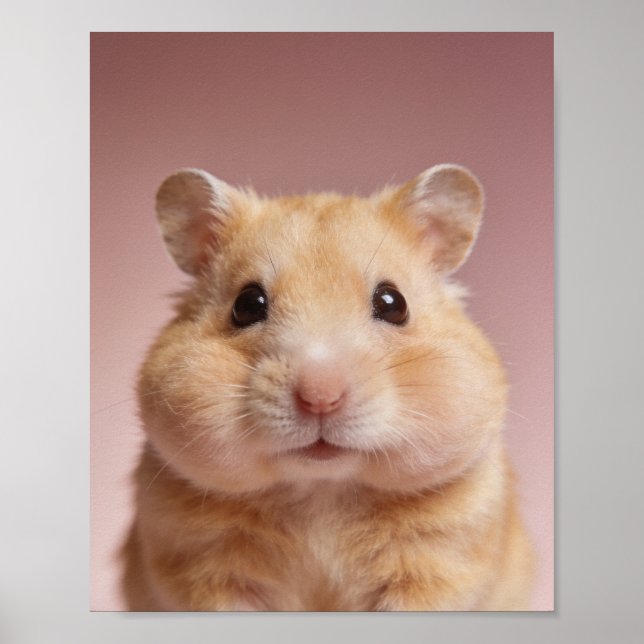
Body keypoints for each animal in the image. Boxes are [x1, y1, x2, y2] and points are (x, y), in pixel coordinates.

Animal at [122, 164, 535, 611]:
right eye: (247, 305)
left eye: (393, 303)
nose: (320, 398)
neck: (322, 491)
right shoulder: (208, 573)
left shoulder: (436, 567)